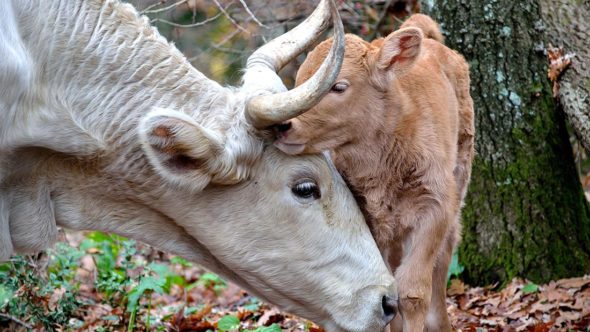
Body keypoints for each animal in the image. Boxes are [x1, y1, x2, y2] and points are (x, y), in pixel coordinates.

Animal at [276, 13, 476, 332]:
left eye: (339, 86)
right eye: (298, 82)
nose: (283, 125)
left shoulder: (435, 207)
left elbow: (413, 291)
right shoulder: (366, 218)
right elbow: (380, 292)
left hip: (459, 179)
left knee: (445, 252)